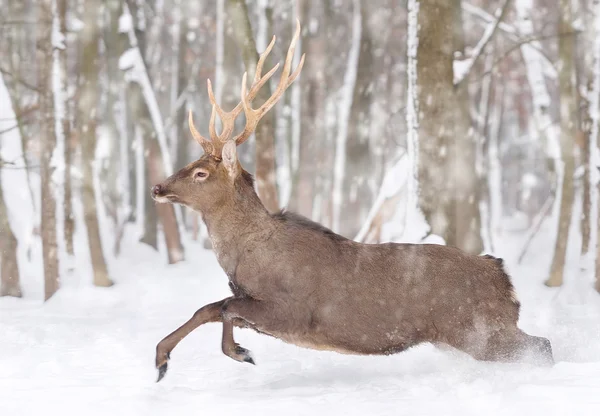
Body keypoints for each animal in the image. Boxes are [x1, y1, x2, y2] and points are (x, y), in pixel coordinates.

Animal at [151, 21, 552, 382]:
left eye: (201, 173)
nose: (157, 188)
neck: (247, 257)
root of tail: (502, 276)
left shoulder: (292, 310)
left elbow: (226, 308)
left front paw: (239, 352)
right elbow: (211, 308)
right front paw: (161, 359)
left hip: (479, 330)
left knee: (542, 345)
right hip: (463, 334)